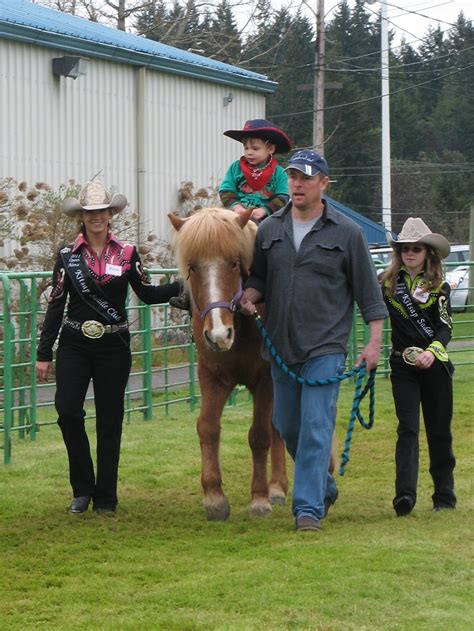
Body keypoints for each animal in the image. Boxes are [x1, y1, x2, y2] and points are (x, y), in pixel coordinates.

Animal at [170, 207, 288, 524]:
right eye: (192, 266)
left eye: (235, 263)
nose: (220, 335)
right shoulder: (212, 377)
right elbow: (207, 427)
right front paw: (214, 498)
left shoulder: (266, 380)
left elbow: (259, 435)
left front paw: (259, 498)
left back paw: (279, 487)